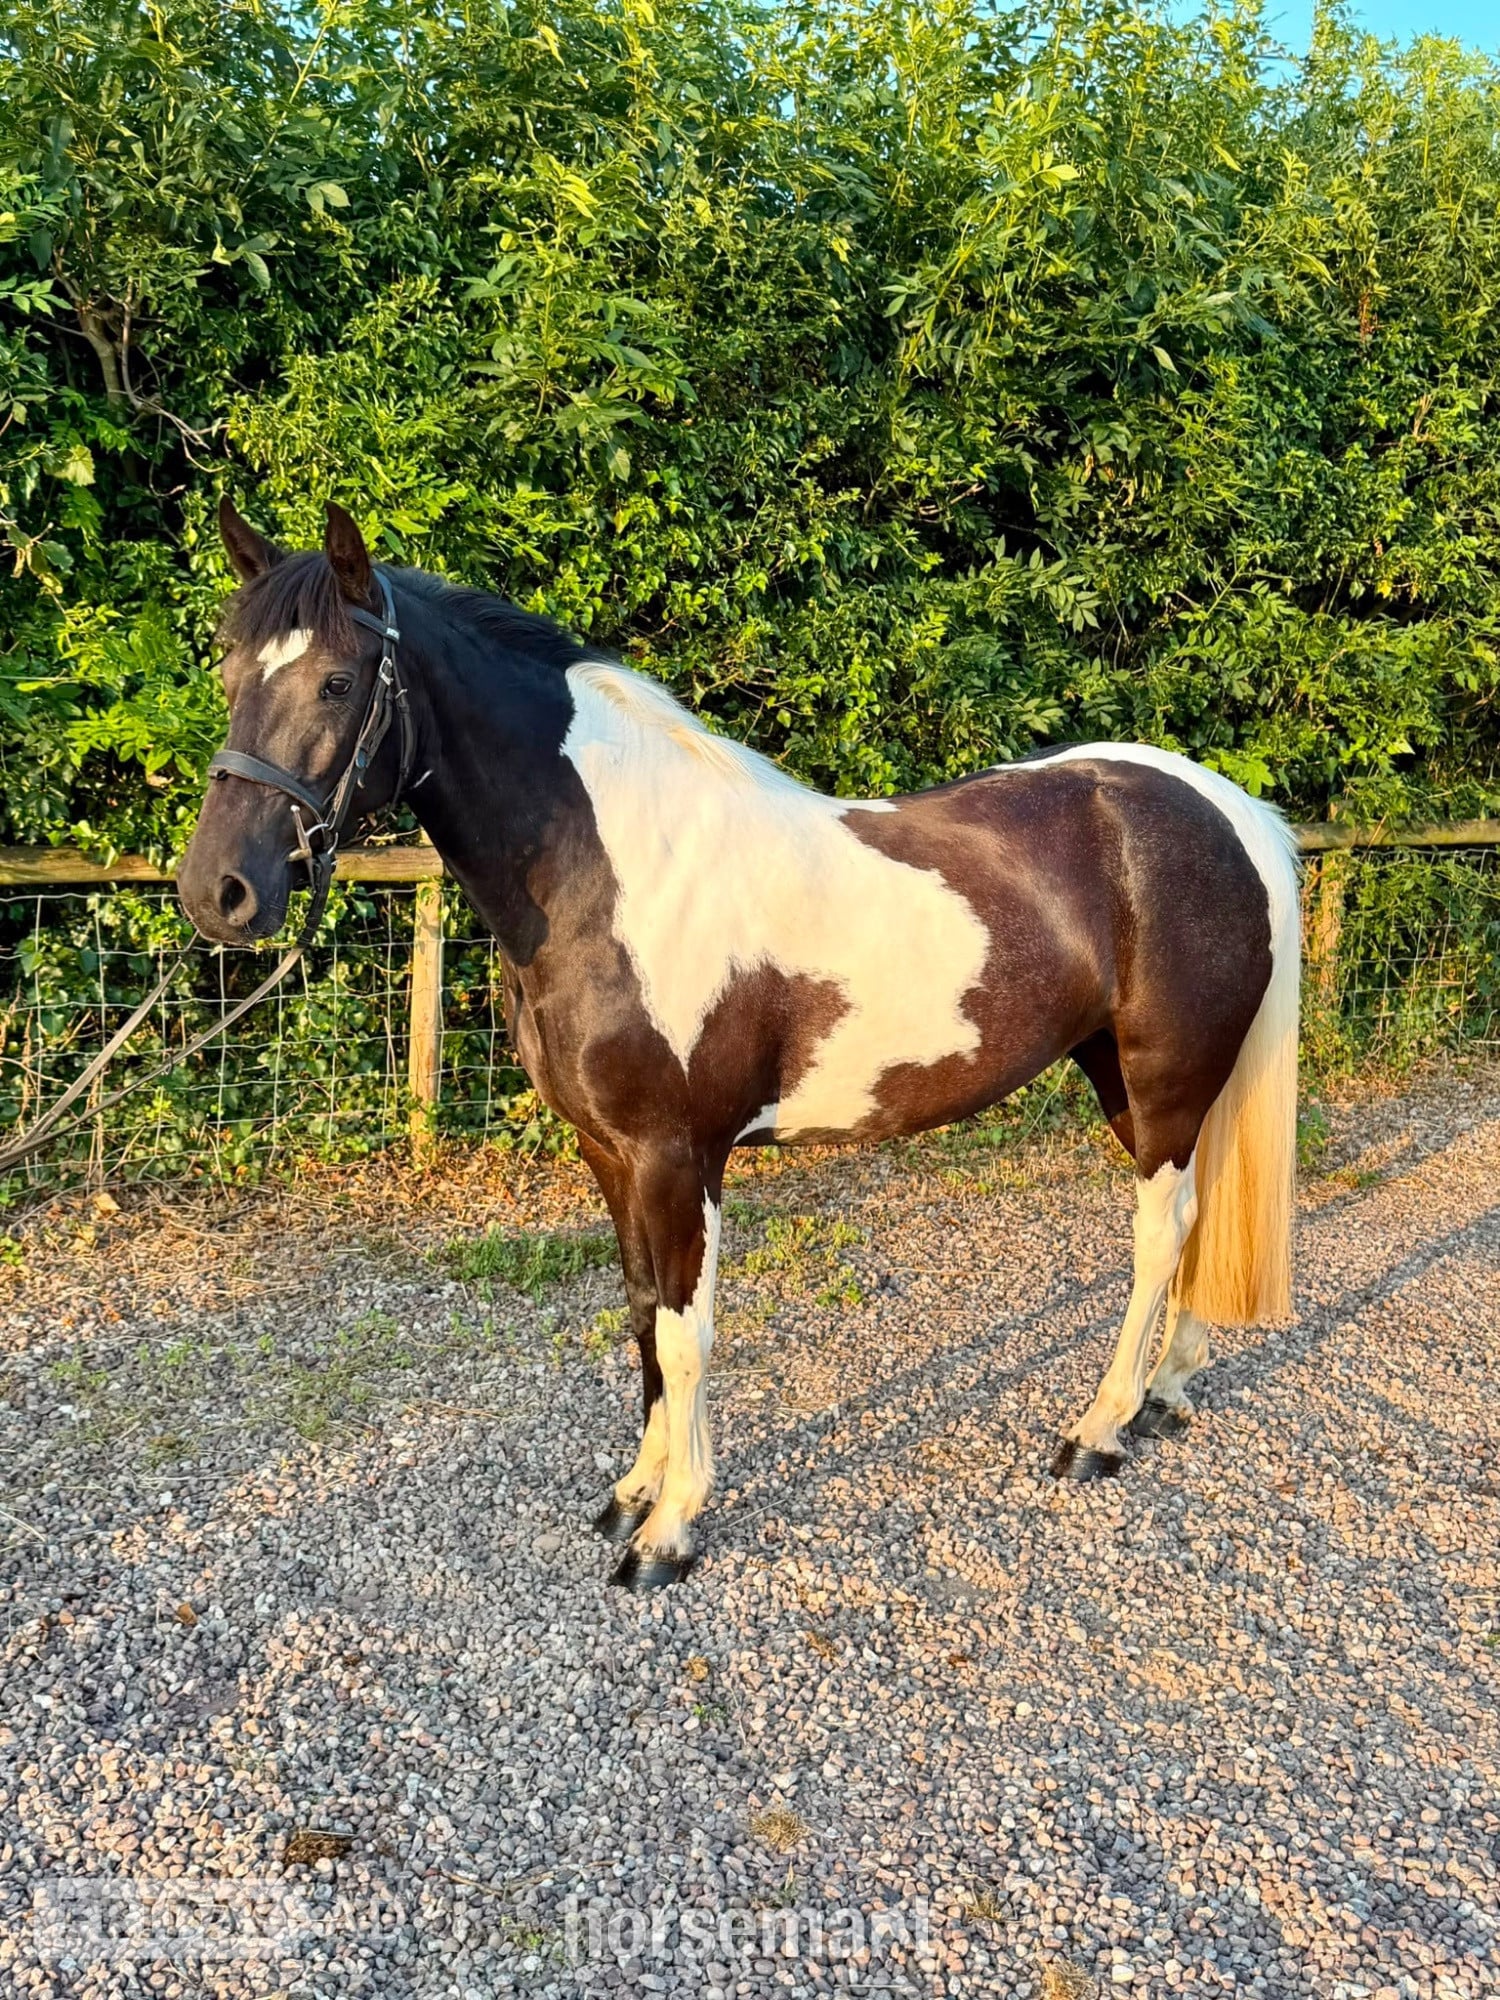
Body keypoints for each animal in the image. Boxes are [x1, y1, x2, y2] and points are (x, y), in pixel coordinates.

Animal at [178, 501, 1300, 1590]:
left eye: (336, 680)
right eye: (227, 672)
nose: (216, 891)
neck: (610, 871)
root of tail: (1227, 807)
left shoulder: (679, 1158)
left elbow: (688, 1333)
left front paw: (669, 1531)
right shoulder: (610, 1152)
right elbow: (641, 1315)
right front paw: (632, 1492)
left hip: (1162, 1078)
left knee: (1161, 1233)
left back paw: (1099, 1429)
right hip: (1126, 1076)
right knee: (1197, 1222)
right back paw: (1167, 1392)